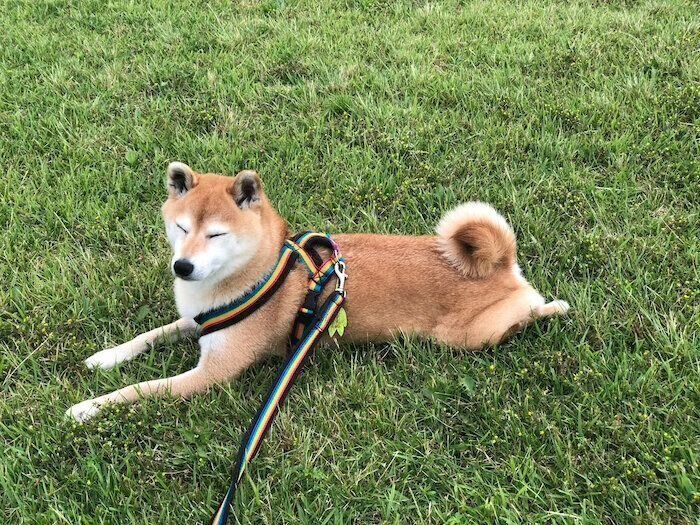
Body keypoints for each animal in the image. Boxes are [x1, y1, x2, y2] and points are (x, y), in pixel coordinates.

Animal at [67, 162, 569, 422]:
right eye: (182, 227)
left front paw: (89, 406)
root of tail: (500, 264)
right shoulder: (195, 321)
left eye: (216, 235)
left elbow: (139, 389)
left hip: (472, 336)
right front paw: (105, 358)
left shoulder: (211, 373)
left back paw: (554, 308)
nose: (182, 266)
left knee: (530, 313)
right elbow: (147, 337)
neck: (257, 271)